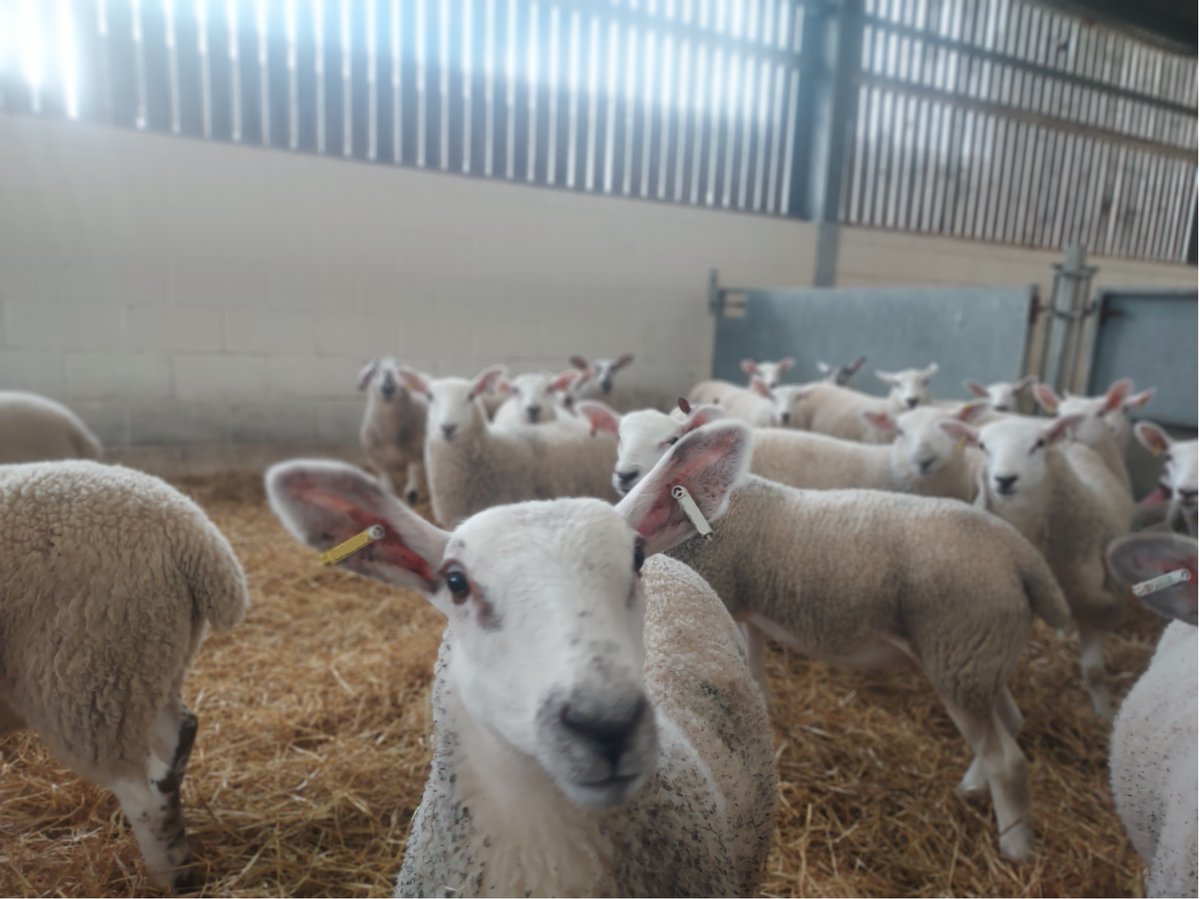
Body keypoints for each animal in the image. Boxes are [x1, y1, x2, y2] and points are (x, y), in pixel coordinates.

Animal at [0, 460, 248, 890]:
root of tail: (196, 540)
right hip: (144, 666)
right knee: (179, 736)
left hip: (88, 680)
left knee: (145, 790)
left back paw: (171, 878)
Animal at [358, 357, 428, 505]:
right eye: (375, 372)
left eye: (400, 372)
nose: (388, 388)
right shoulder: (379, 458)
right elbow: (386, 479)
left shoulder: (416, 452)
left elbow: (414, 472)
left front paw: (412, 493)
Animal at [608, 427, 1071, 861]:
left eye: (670, 439)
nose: (626, 476)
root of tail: (1022, 557)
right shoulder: (745, 607)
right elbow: (753, 661)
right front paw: (764, 703)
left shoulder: (723, 588)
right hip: (981, 656)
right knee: (1009, 722)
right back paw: (974, 786)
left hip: (958, 652)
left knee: (1007, 760)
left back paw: (1015, 847)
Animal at [940, 413, 1134, 719]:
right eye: (982, 446)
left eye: (1039, 444)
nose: (1005, 479)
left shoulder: (1101, 606)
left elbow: (1093, 672)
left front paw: (1104, 715)